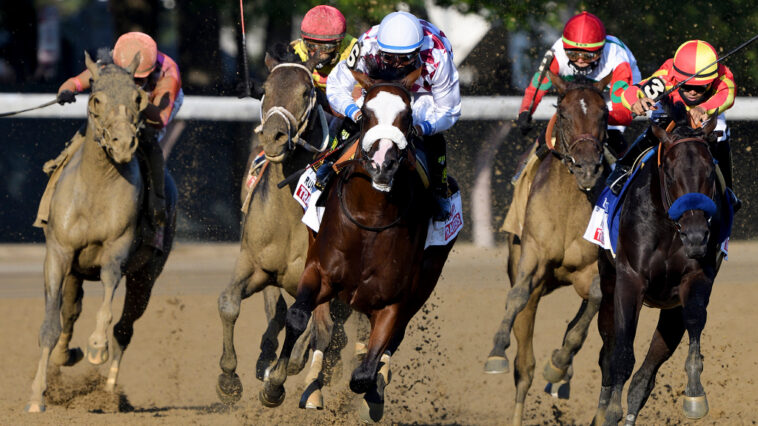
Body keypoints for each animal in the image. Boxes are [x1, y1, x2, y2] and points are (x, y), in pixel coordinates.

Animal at [24, 50, 179, 412]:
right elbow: (51, 324)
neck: (96, 187)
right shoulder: (59, 253)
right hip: (76, 271)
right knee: (71, 310)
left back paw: (109, 392)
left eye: (138, 98)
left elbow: (109, 285)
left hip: (147, 274)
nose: (122, 144)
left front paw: (96, 346)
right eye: (95, 98)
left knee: (124, 328)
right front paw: (37, 397)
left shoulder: (117, 249)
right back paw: (67, 356)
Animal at [258, 68, 458, 422]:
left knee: (389, 343)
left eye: (408, 117)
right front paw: (275, 385)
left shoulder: (393, 300)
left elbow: (364, 373)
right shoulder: (319, 271)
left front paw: (372, 393)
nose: (382, 163)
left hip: (423, 284)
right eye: (366, 113)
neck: (371, 219)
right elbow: (297, 318)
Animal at [484, 71, 616, 424]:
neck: (569, 204)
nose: (588, 168)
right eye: (564, 112)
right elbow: (517, 295)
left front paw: (558, 364)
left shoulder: (592, 269)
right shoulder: (532, 255)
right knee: (524, 367)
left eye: (604, 113)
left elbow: (593, 302)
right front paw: (496, 351)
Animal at [592, 113, 732, 426]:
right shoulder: (630, 279)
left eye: (709, 173)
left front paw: (695, 394)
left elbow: (694, 321)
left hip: (669, 312)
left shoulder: (695, 278)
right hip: (608, 286)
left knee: (644, 377)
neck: (670, 229)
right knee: (608, 353)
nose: (696, 236)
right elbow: (621, 355)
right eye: (670, 175)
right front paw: (611, 412)